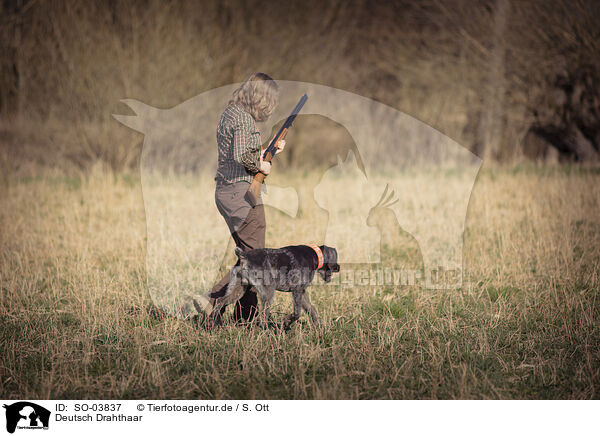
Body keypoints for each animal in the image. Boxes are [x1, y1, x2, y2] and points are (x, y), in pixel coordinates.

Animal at [209, 244, 340, 328]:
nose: (338, 267)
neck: (315, 256)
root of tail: (243, 256)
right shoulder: (297, 290)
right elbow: (297, 313)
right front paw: (286, 322)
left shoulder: (302, 292)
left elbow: (312, 310)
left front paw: (320, 328)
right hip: (268, 292)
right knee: (262, 318)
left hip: (237, 290)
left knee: (219, 301)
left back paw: (213, 323)